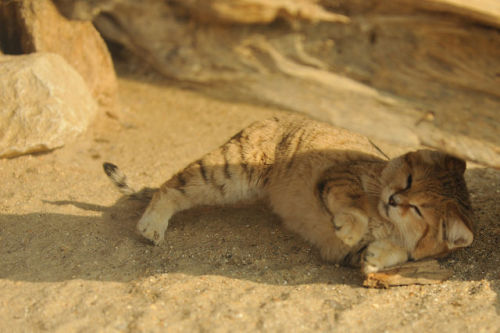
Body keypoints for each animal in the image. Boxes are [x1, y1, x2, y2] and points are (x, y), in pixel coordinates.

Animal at [102, 115, 472, 272]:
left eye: (420, 210)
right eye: (408, 180)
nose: (394, 199)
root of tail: (269, 118)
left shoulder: (343, 255)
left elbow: (400, 253)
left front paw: (377, 257)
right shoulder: (339, 177)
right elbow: (354, 205)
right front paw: (351, 227)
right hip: (230, 172)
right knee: (171, 186)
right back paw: (151, 225)